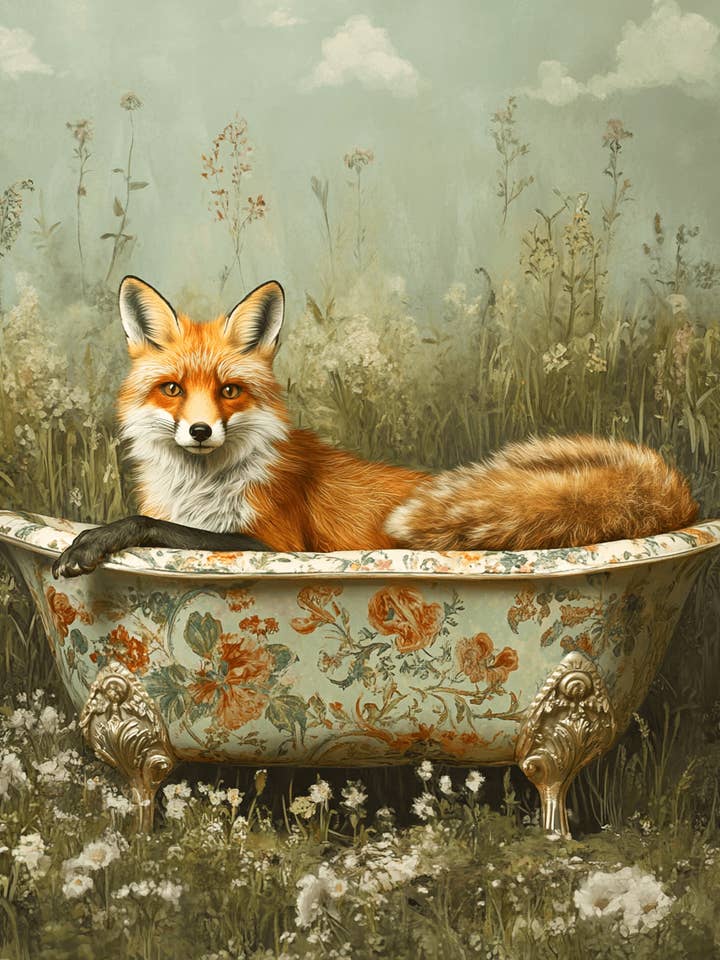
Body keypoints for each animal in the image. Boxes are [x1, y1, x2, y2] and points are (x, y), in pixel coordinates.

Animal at [52, 275, 698, 578]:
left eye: (229, 391)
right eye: (173, 390)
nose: (201, 432)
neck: (199, 488)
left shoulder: (273, 544)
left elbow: (150, 525)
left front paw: (95, 539)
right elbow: (160, 522)